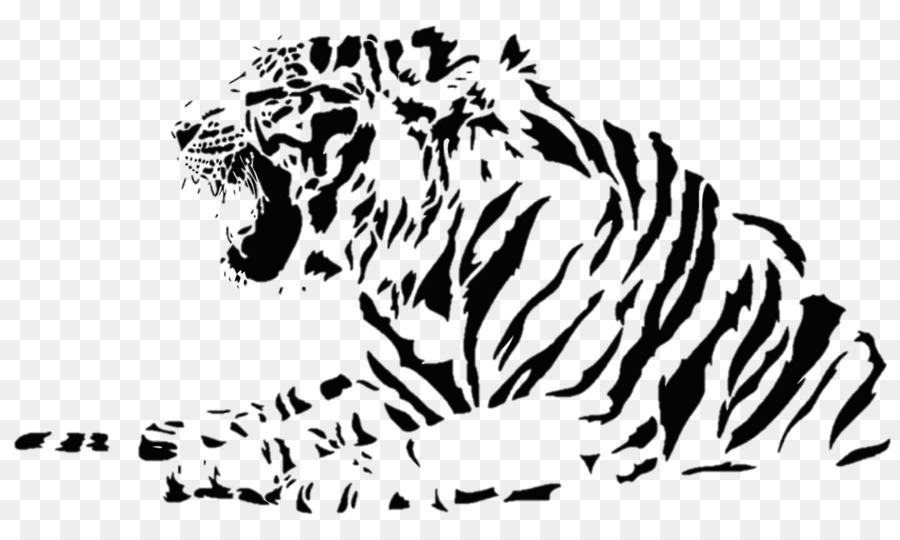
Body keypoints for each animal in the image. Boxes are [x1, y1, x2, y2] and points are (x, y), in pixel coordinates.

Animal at [15, 27, 890, 514]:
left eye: (273, 93)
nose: (176, 129)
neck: (424, 262)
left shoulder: (587, 411)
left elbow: (436, 444)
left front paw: (327, 481)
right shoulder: (410, 387)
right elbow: (300, 420)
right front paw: (218, 461)